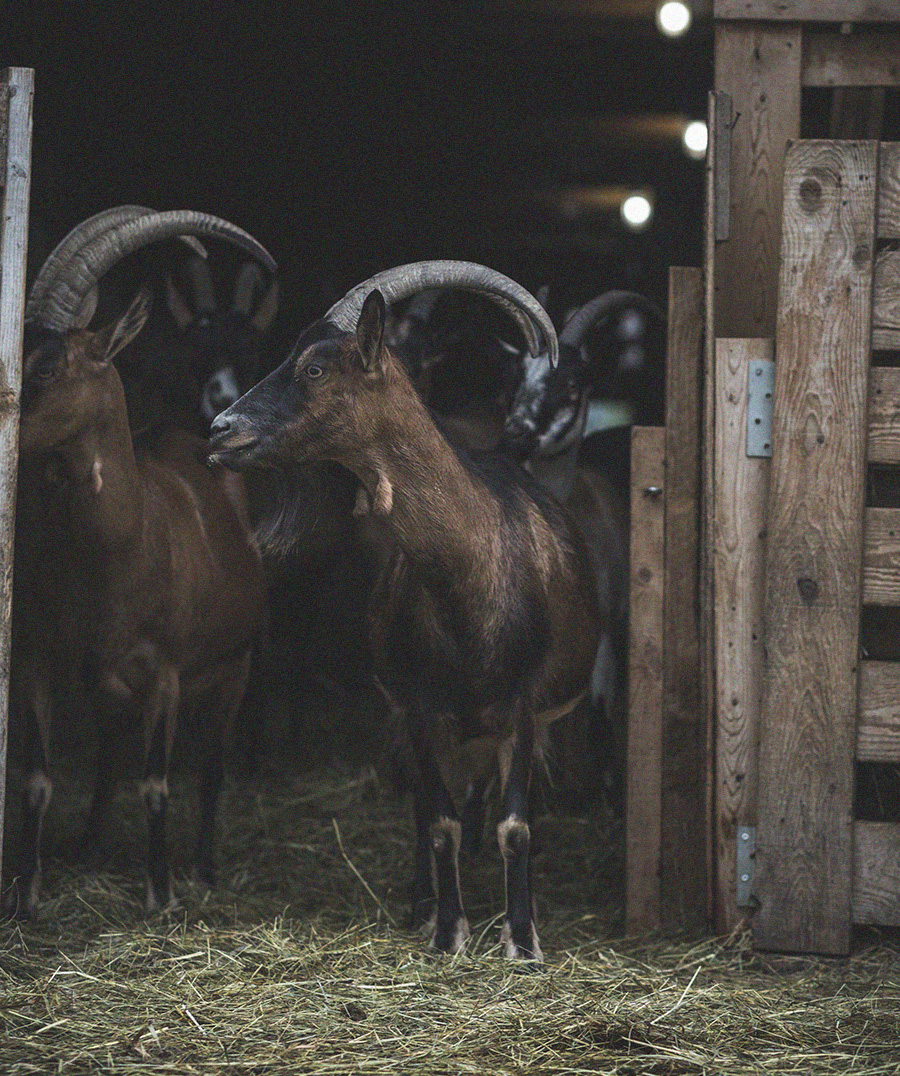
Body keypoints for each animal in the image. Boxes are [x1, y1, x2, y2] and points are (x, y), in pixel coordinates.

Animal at [6, 207, 270, 916]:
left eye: (48, 369)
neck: (119, 550)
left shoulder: (166, 676)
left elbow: (157, 784)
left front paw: (161, 892)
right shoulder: (40, 662)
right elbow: (37, 778)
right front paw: (27, 890)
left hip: (233, 668)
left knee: (211, 767)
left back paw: (202, 866)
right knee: (106, 754)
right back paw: (92, 842)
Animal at [209, 264, 602, 964]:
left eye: (314, 368)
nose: (221, 428)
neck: (471, 578)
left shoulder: (524, 707)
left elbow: (516, 825)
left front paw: (522, 940)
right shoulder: (419, 708)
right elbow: (438, 821)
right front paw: (447, 932)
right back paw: (424, 903)